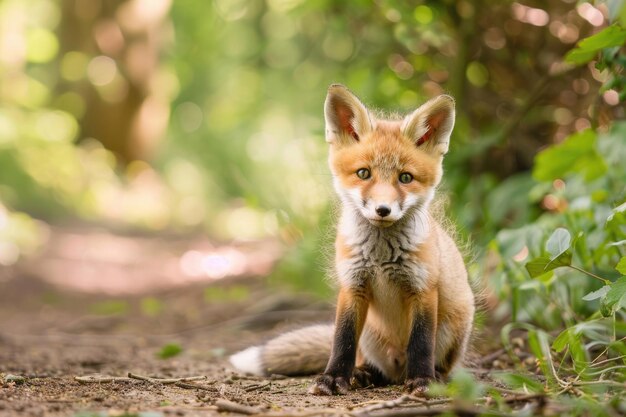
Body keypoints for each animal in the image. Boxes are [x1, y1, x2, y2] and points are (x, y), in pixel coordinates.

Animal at [229, 83, 472, 394]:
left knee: (441, 365)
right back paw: (364, 373)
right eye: (363, 173)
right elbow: (341, 340)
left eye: (405, 178)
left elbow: (420, 343)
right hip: (370, 336)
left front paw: (422, 381)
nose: (383, 210)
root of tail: (397, 368)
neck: (381, 258)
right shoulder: (353, 285)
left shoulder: (423, 289)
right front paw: (333, 378)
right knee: (371, 364)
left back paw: (434, 376)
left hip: (454, 325)